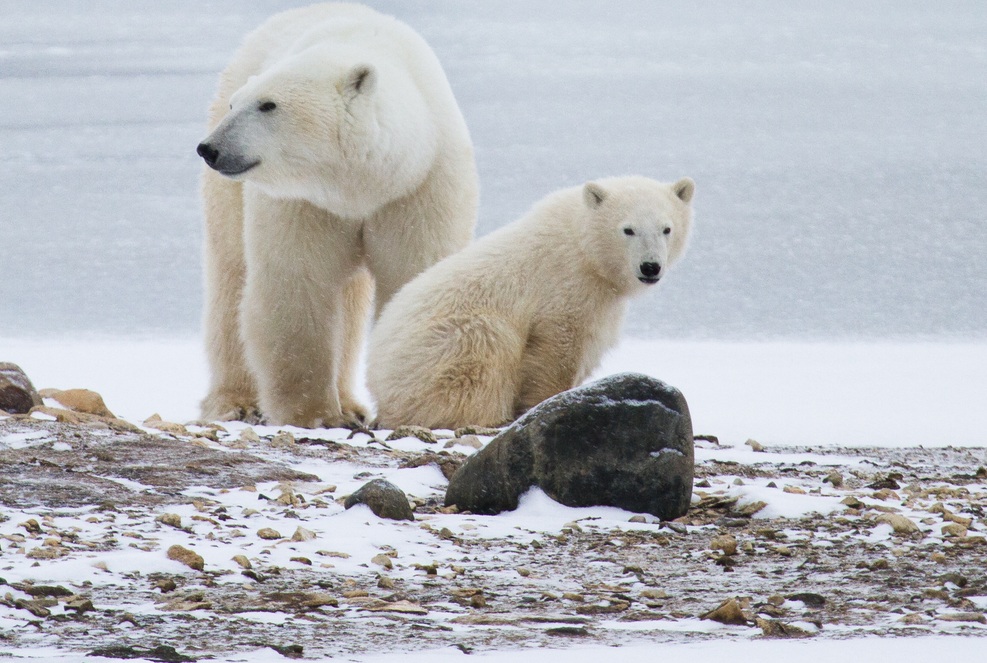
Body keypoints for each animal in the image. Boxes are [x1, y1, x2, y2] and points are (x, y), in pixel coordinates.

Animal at [196, 3, 478, 428]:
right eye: (236, 103)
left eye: (268, 104)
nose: (209, 149)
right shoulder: (303, 202)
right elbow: (297, 285)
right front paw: (316, 415)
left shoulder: (419, 189)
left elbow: (417, 278)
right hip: (229, 193)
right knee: (231, 273)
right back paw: (236, 401)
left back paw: (352, 403)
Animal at [367, 175, 695, 429]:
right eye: (628, 229)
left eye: (666, 229)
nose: (650, 267)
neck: (583, 248)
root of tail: (375, 381)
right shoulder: (564, 286)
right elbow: (558, 348)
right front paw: (547, 403)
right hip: (442, 349)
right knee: (484, 349)